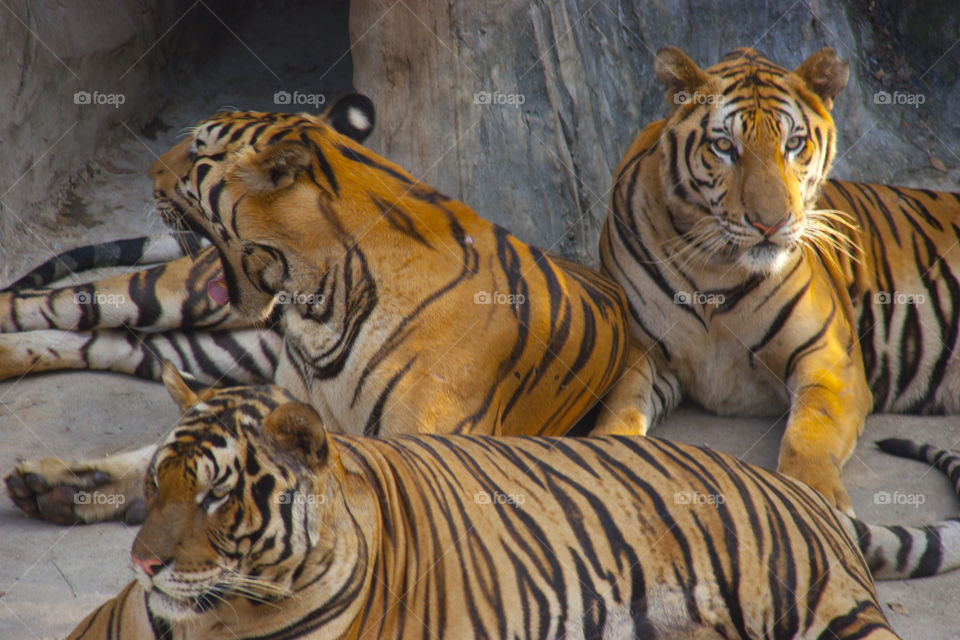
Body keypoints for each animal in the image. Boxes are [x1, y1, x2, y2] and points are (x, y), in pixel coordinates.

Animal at [5, 96, 632, 524]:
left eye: (198, 150)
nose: (150, 173)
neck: (319, 305)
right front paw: (69, 483)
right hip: (175, 293)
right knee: (52, 305)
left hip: (215, 347)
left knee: (111, 342)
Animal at [592, 46, 960, 516]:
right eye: (724, 147)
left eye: (794, 144)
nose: (771, 224)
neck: (713, 268)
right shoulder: (641, 352)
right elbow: (618, 412)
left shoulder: (828, 359)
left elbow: (808, 433)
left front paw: (818, 502)